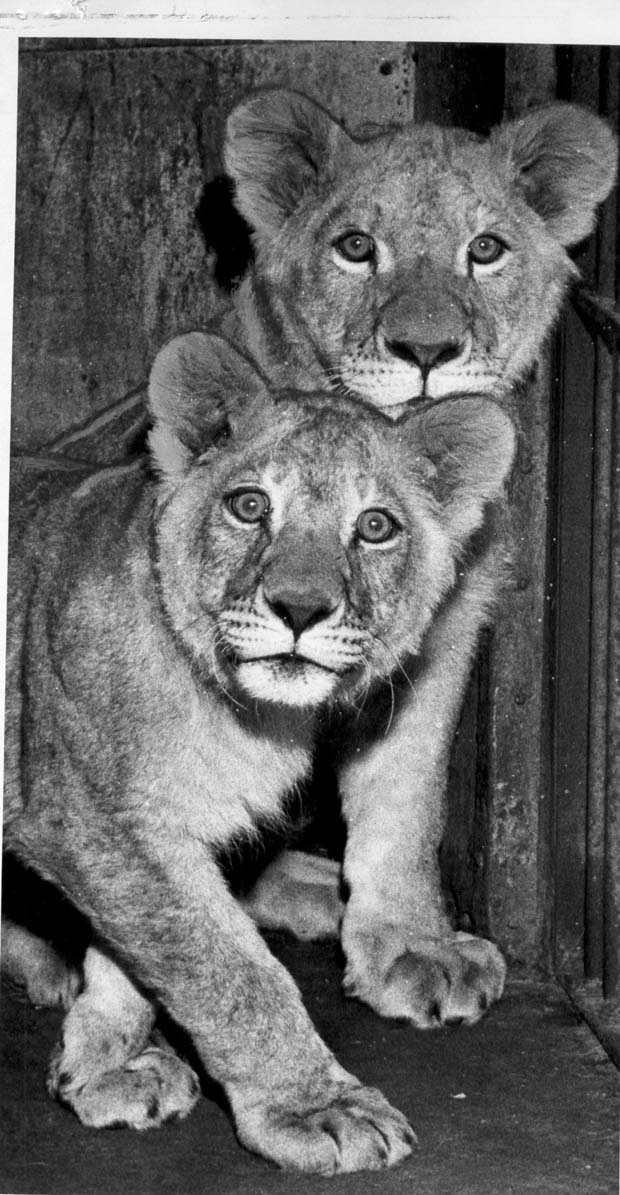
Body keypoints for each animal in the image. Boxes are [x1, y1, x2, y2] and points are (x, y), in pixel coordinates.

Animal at [3, 331, 516, 1172]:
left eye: (376, 526)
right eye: (249, 506)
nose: (301, 609)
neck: (260, 716)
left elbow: (405, 810)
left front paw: (106, 1059)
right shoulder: (89, 819)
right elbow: (226, 967)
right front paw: (313, 1106)